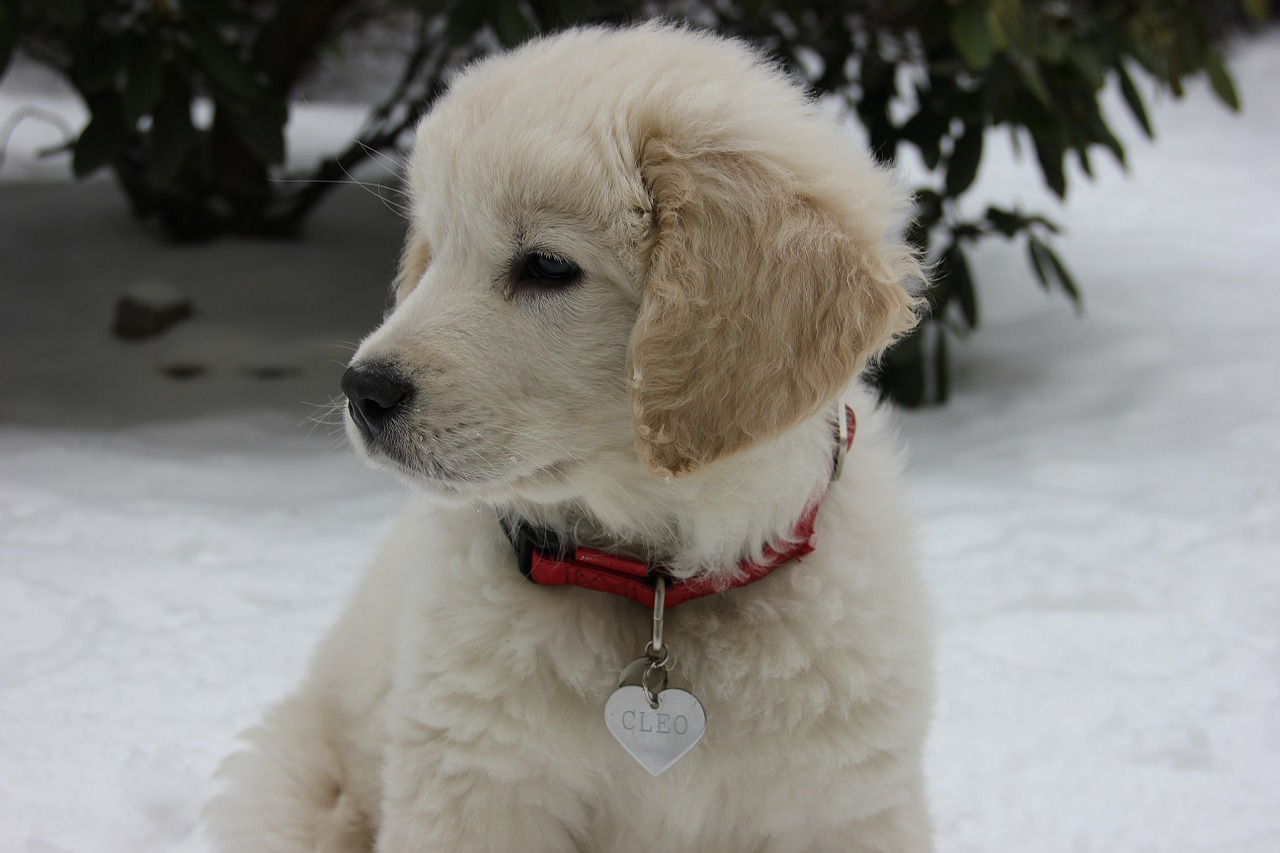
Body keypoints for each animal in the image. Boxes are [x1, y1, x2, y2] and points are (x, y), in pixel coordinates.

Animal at [204, 21, 936, 850]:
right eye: (437, 251)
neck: (653, 581)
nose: (364, 390)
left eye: (548, 265)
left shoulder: (845, 802)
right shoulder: (474, 787)